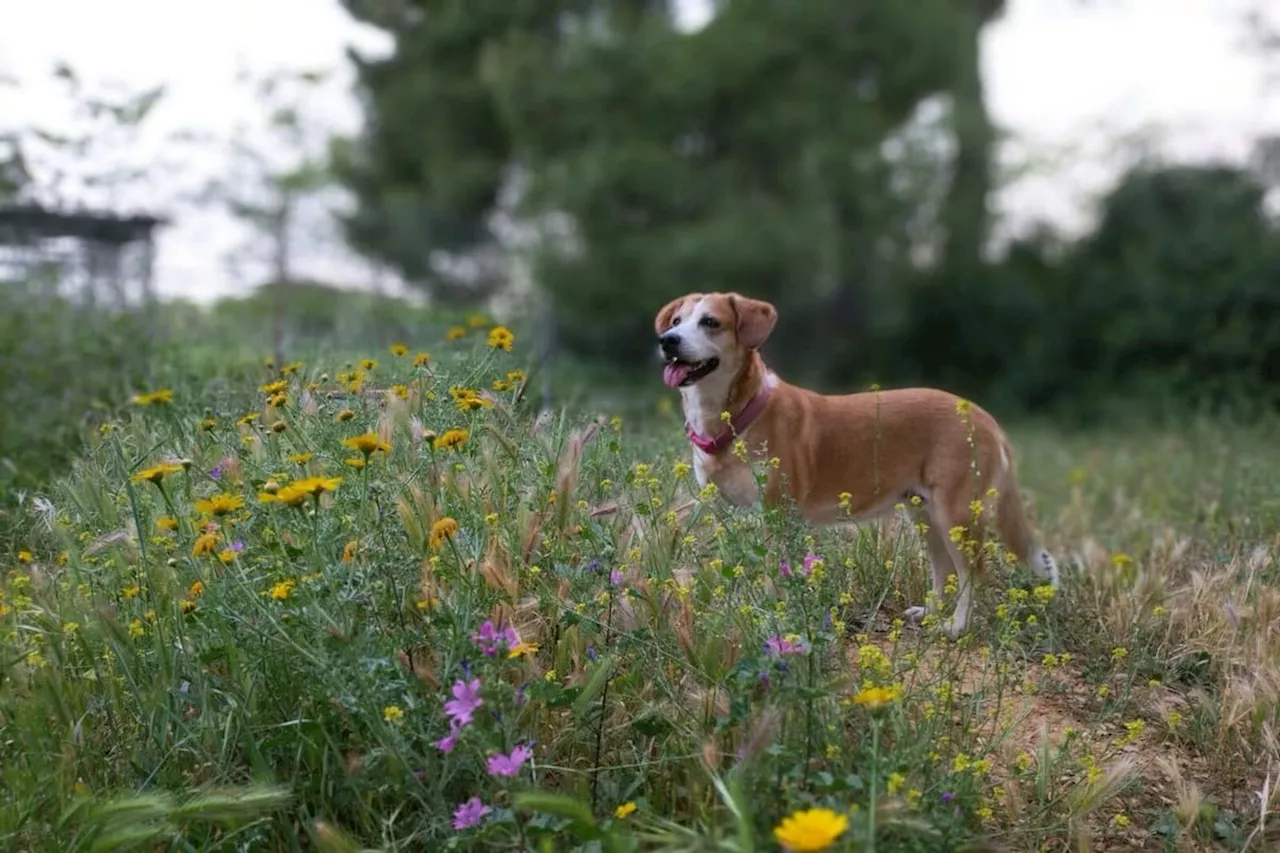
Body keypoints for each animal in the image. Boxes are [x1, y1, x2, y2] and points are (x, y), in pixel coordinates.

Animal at [655, 289, 1054, 635]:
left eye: (710, 322)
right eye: (676, 320)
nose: (667, 340)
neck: (739, 414)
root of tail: (984, 417)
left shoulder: (776, 513)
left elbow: (773, 575)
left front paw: (771, 617)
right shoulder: (726, 512)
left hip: (955, 513)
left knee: (974, 572)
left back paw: (957, 626)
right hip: (925, 512)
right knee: (943, 568)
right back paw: (930, 613)